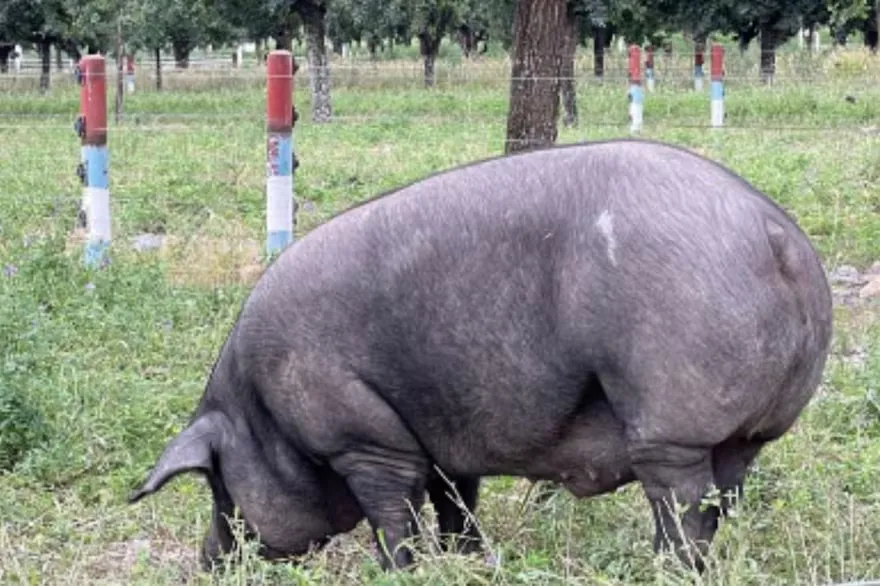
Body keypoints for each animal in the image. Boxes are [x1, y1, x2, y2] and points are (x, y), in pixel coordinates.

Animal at [129, 138, 833, 574]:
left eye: (219, 489)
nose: (207, 559)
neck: (263, 413)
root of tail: (776, 236)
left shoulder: (364, 440)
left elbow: (393, 517)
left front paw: (395, 571)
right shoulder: (442, 440)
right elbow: (455, 504)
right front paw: (466, 561)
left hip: (671, 414)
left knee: (683, 505)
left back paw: (661, 568)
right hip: (749, 432)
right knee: (721, 499)